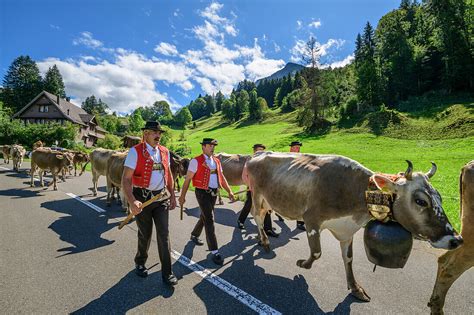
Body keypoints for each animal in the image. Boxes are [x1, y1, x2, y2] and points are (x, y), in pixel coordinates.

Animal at [246, 154, 462, 304]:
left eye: (440, 197)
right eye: (420, 201)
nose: (456, 239)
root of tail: (256, 156)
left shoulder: (346, 230)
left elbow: (348, 259)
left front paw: (355, 288)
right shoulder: (311, 220)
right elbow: (316, 252)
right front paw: (302, 265)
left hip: (268, 200)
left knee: (262, 215)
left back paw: (260, 238)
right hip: (256, 194)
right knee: (257, 215)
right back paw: (264, 241)